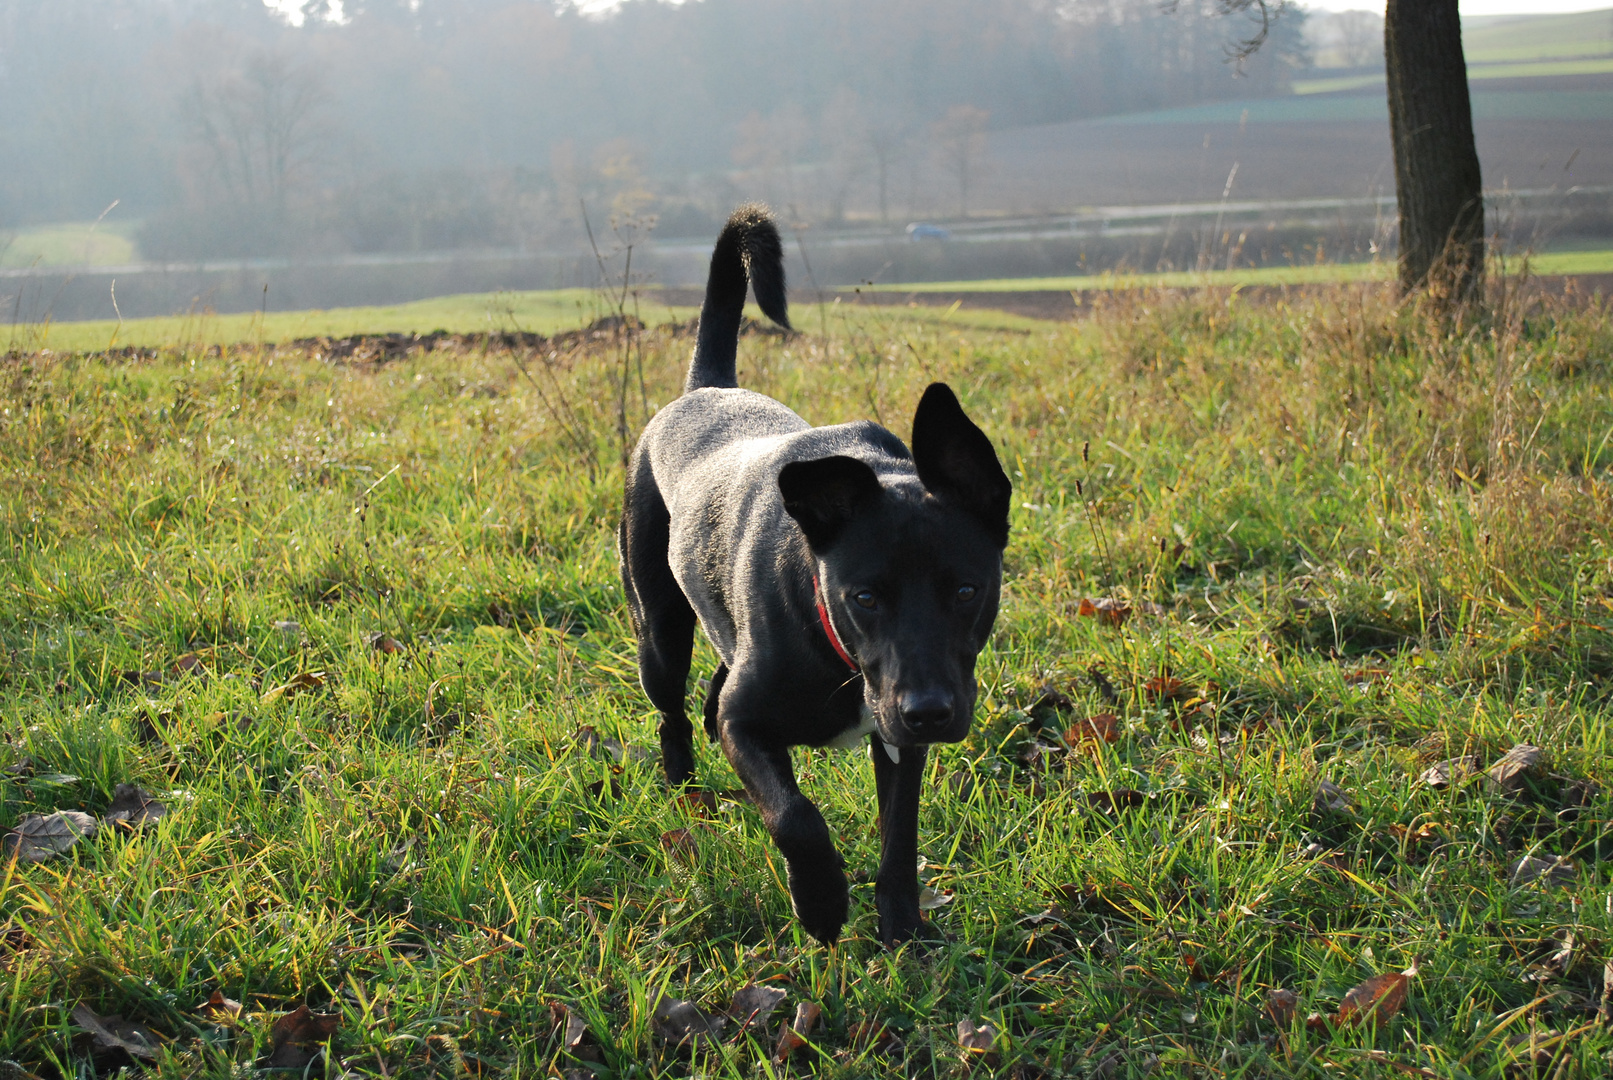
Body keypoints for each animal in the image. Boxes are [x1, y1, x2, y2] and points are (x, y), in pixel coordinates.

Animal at [616, 203, 1006, 947]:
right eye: (864, 597)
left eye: (967, 591)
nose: (930, 711)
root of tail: (705, 386)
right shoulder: (751, 726)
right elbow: (794, 815)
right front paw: (822, 903)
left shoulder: (897, 738)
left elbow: (898, 836)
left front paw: (902, 930)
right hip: (659, 627)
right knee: (674, 710)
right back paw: (685, 792)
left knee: (711, 687)